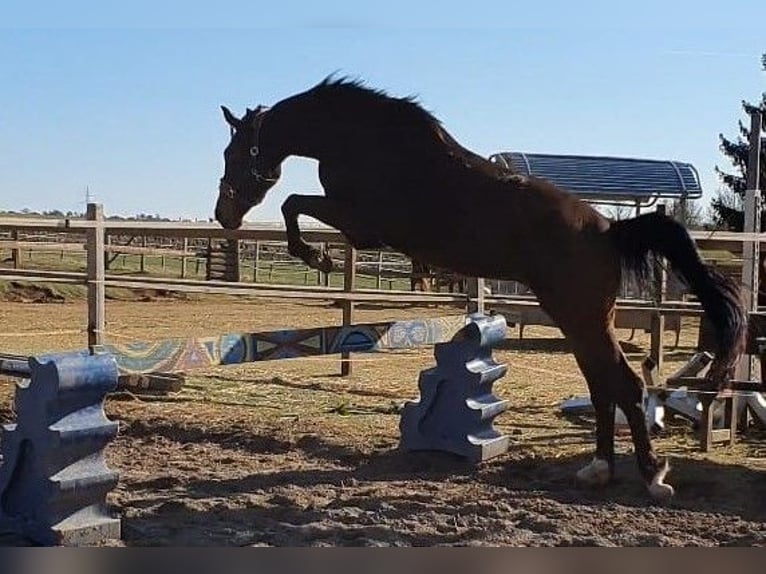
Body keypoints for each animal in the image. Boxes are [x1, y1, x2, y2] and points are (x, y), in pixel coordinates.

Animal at [216, 76, 752, 500]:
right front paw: (318, 256)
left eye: (235, 151)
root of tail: (609, 230)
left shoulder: (361, 226)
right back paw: (600, 469)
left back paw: (652, 476)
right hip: (582, 320)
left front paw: (317, 257)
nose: (224, 215)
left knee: (623, 384)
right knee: (603, 385)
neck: (360, 139)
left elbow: (291, 202)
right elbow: (293, 203)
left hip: (580, 316)